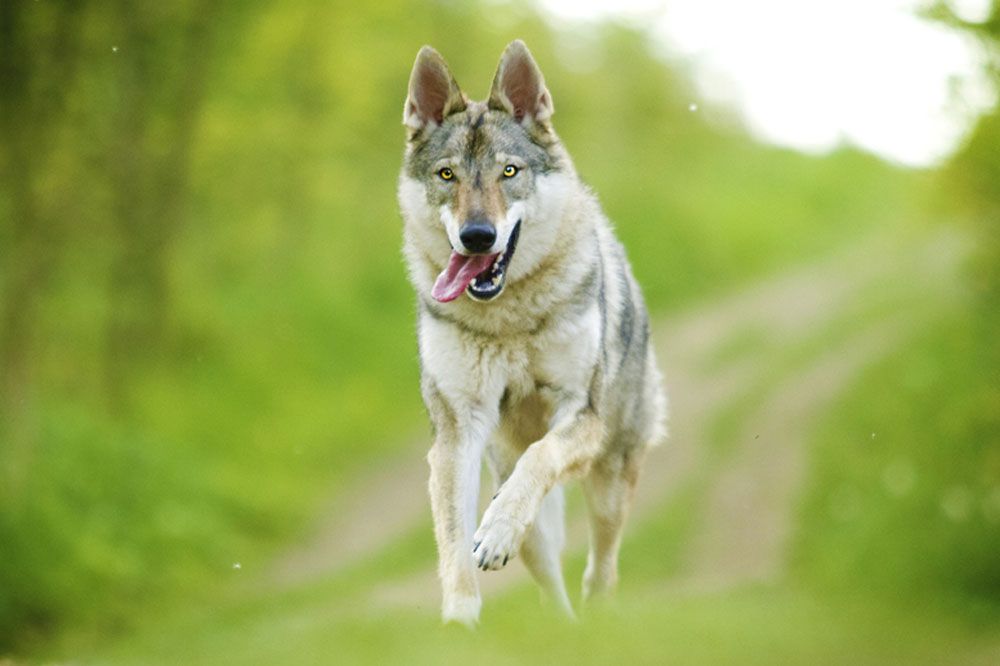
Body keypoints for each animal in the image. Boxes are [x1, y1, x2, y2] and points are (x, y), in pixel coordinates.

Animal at [398, 40, 667, 627]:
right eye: (447, 176)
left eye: (509, 172)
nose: (477, 237)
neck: (509, 320)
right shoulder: (457, 432)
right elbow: (455, 545)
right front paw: (459, 624)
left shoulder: (582, 414)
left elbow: (541, 457)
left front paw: (496, 532)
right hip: (527, 516)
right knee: (550, 579)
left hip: (610, 482)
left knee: (601, 569)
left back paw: (596, 618)